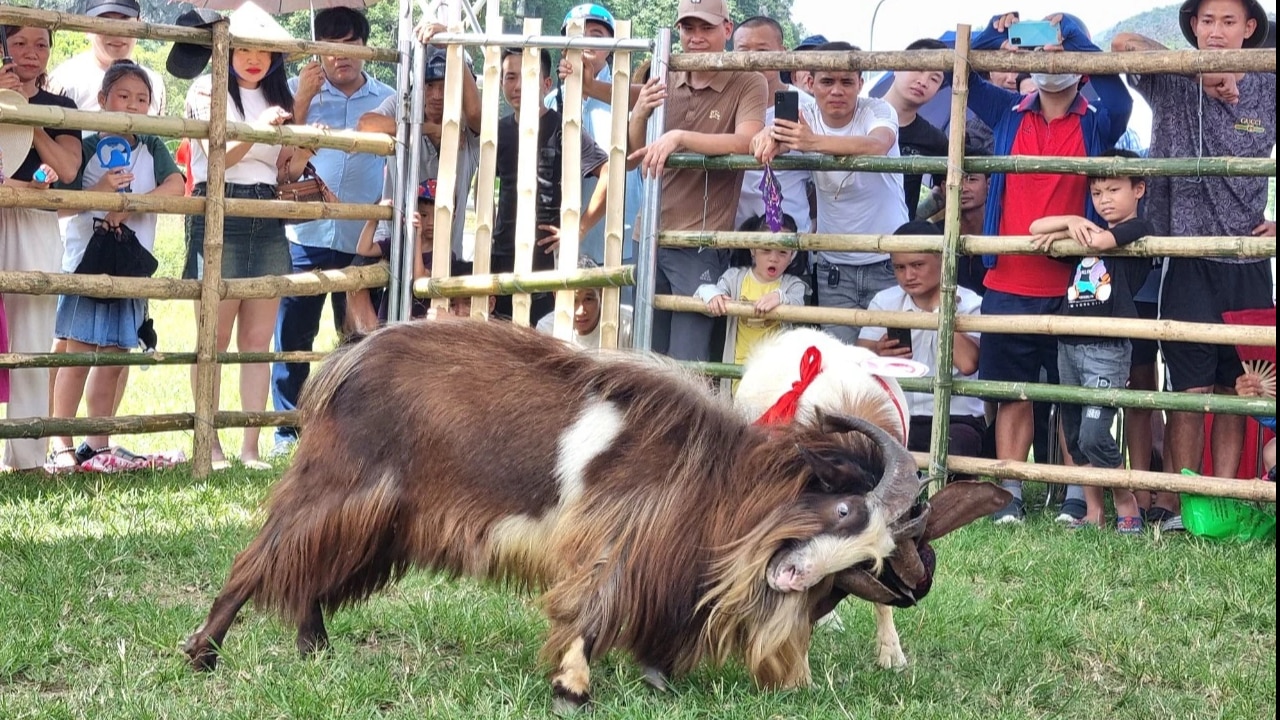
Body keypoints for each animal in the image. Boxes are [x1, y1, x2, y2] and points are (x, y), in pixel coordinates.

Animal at [183, 319, 921, 707]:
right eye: (845, 508)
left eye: (868, 556)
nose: (792, 578)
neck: (717, 473)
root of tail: (349, 359)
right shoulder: (613, 539)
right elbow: (594, 604)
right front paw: (572, 684)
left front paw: (657, 676)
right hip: (339, 486)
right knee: (262, 556)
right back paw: (203, 653)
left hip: (380, 518)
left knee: (310, 565)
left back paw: (314, 647)